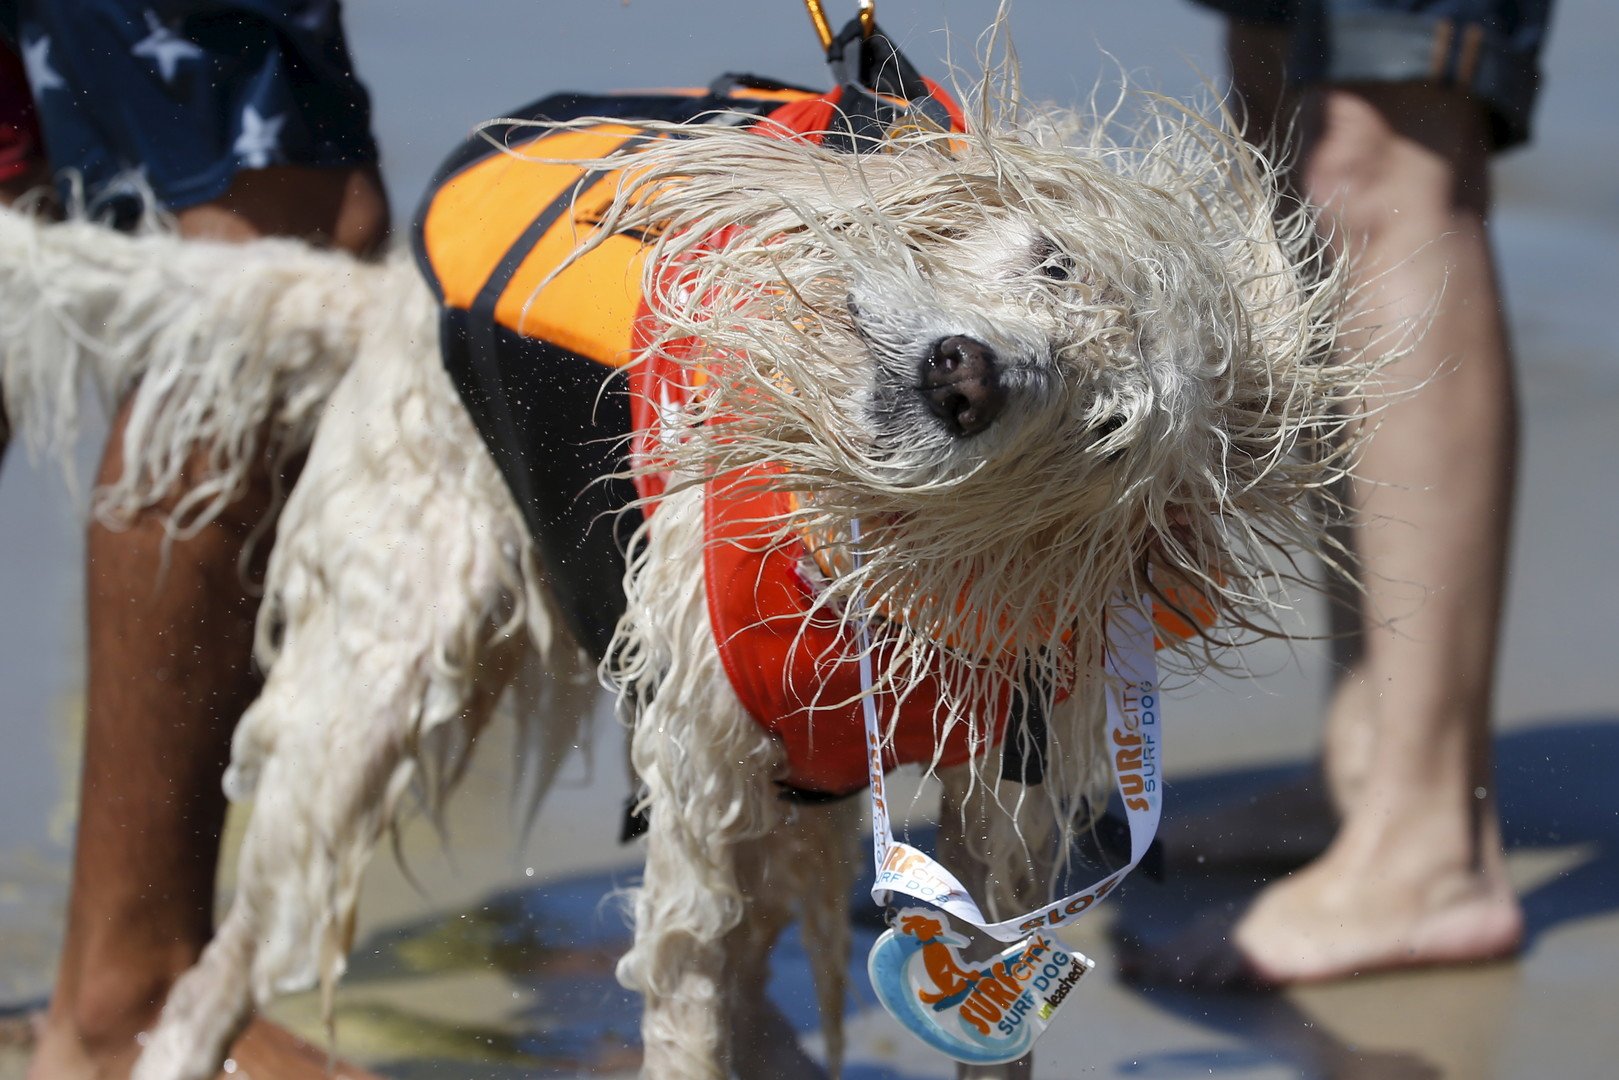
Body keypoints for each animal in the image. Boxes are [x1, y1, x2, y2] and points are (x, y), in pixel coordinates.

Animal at [6, 67, 1366, 1080]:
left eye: (1109, 426)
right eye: (1052, 264)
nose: (965, 377)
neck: (853, 544)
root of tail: (383, 299)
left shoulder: (1001, 807)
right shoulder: (703, 799)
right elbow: (686, 997)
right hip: (377, 690)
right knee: (211, 979)